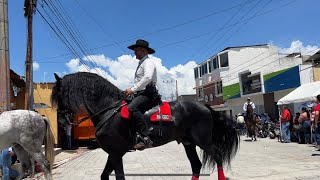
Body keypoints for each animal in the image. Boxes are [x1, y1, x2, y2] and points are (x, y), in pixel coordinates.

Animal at [51, 72, 239, 180]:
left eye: (59, 95)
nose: (61, 122)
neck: (109, 110)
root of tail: (204, 106)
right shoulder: (114, 153)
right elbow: (104, 176)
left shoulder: (116, 153)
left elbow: (119, 177)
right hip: (188, 142)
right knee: (196, 165)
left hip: (203, 141)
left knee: (218, 157)